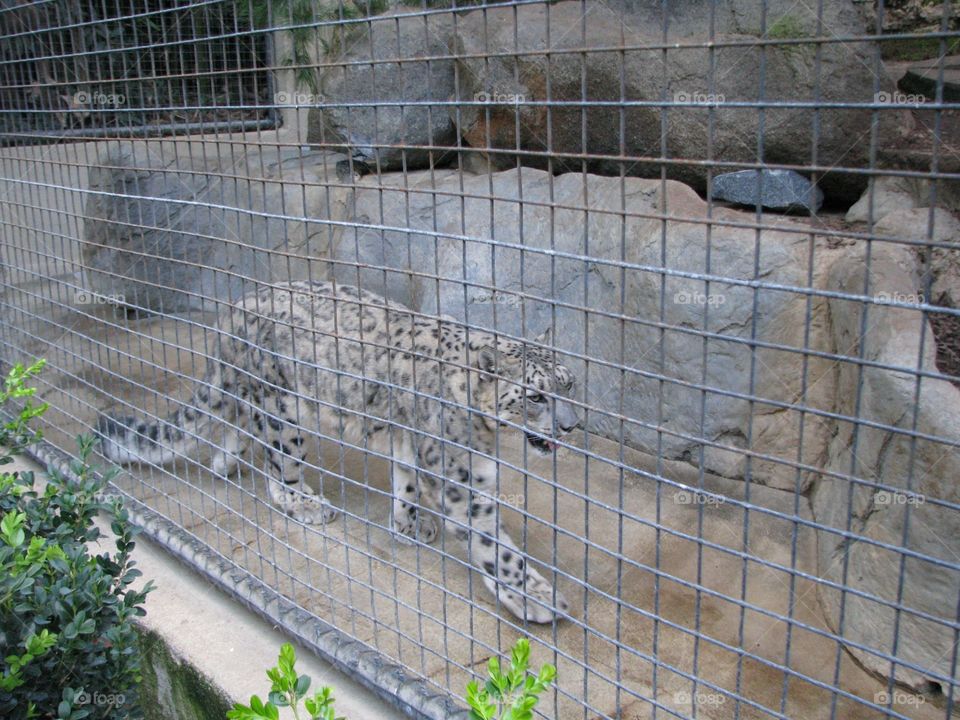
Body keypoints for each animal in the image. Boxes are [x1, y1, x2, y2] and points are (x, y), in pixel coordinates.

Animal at [97, 280, 580, 623]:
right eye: (535, 396)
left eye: (569, 383)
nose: (571, 425)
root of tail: (234, 311)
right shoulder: (459, 475)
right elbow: (492, 542)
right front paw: (535, 596)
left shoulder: (415, 440)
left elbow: (405, 477)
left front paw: (408, 524)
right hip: (283, 407)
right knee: (279, 465)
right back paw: (304, 502)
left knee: (235, 421)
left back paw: (224, 462)